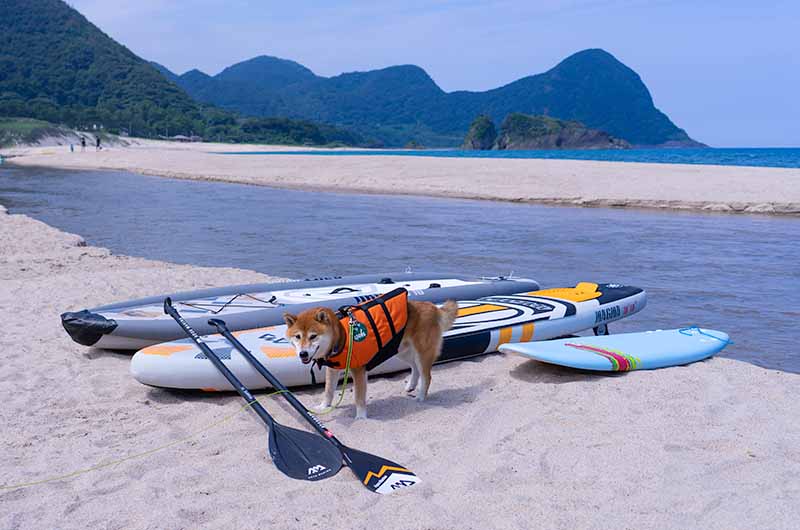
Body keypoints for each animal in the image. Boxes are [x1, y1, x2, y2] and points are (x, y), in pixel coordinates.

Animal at [282, 296, 456, 416]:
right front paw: (324, 406)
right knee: (414, 368)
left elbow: (358, 397)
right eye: (297, 336)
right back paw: (411, 386)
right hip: (402, 351)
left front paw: (361, 417)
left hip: (421, 352)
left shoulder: (358, 370)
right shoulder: (333, 369)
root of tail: (433, 307)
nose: (303, 353)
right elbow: (328, 390)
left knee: (426, 376)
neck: (342, 336)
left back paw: (420, 397)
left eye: (313, 336)